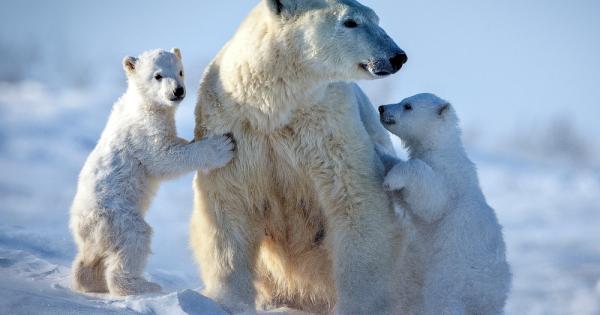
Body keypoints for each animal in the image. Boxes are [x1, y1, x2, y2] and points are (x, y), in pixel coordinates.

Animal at [71, 48, 236, 298]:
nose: (178, 90)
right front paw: (221, 146)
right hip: (116, 216)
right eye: (158, 75)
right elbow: (163, 157)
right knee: (135, 239)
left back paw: (88, 281)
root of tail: (79, 226)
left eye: (180, 71)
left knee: (90, 257)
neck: (142, 102)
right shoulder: (144, 130)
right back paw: (142, 286)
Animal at [191, 0, 408, 314]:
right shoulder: (234, 128)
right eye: (350, 22)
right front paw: (230, 302)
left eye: (375, 18)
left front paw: (359, 304)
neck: (273, 106)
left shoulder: (328, 126)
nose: (396, 56)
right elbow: (229, 206)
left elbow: (354, 200)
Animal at [380, 94, 510, 315]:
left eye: (408, 105)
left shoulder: (449, 178)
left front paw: (392, 179)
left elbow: (433, 202)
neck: (441, 147)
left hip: (451, 276)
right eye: (404, 101)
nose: (381, 108)